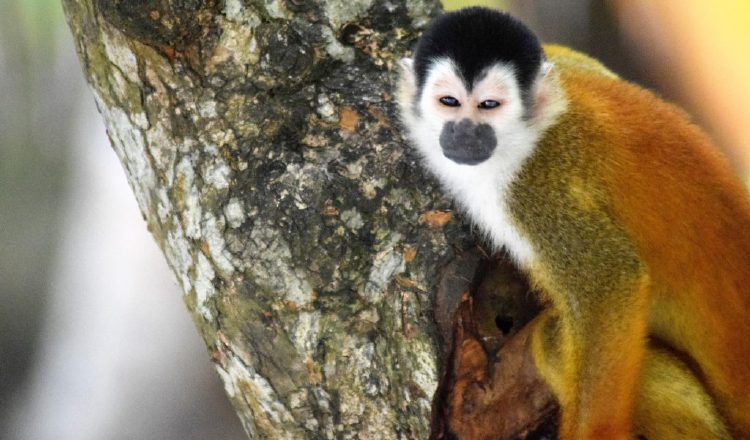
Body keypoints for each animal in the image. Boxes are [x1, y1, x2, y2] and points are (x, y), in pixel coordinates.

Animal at [397, 7, 750, 440]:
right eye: (449, 102)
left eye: (489, 105)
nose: (465, 132)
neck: (525, 137)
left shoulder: (537, 189)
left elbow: (609, 279)